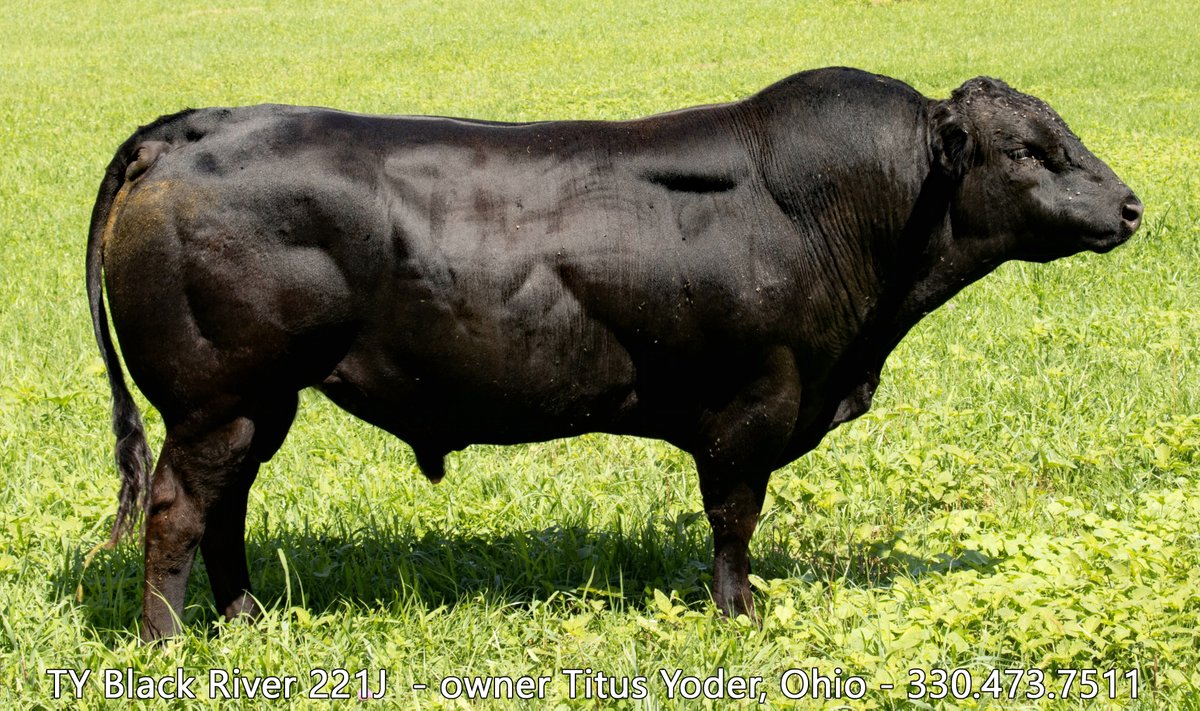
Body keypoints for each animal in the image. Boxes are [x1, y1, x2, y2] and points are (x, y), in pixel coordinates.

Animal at [86, 67, 1142, 641]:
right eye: (1032, 151)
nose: (1131, 205)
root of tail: (194, 126)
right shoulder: (753, 402)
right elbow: (733, 521)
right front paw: (738, 613)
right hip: (217, 395)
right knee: (179, 509)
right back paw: (167, 641)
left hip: (260, 399)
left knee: (226, 506)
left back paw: (245, 616)